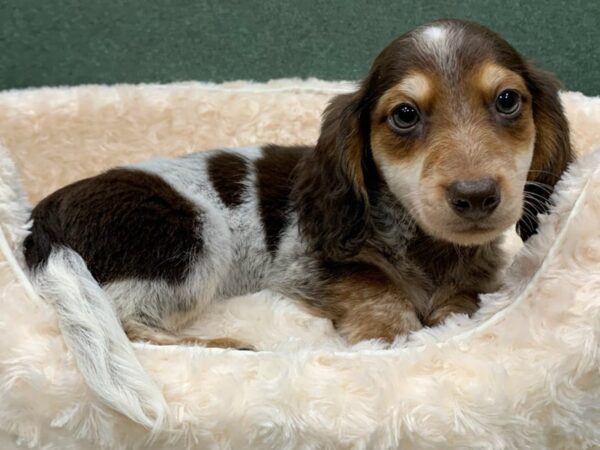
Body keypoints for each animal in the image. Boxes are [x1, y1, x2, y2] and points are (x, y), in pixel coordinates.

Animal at [22, 18, 572, 426]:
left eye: (507, 101)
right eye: (405, 115)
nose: (476, 195)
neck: (423, 243)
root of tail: (43, 218)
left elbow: (465, 299)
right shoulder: (311, 264)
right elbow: (374, 284)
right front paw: (397, 336)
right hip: (196, 236)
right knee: (127, 323)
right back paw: (225, 346)